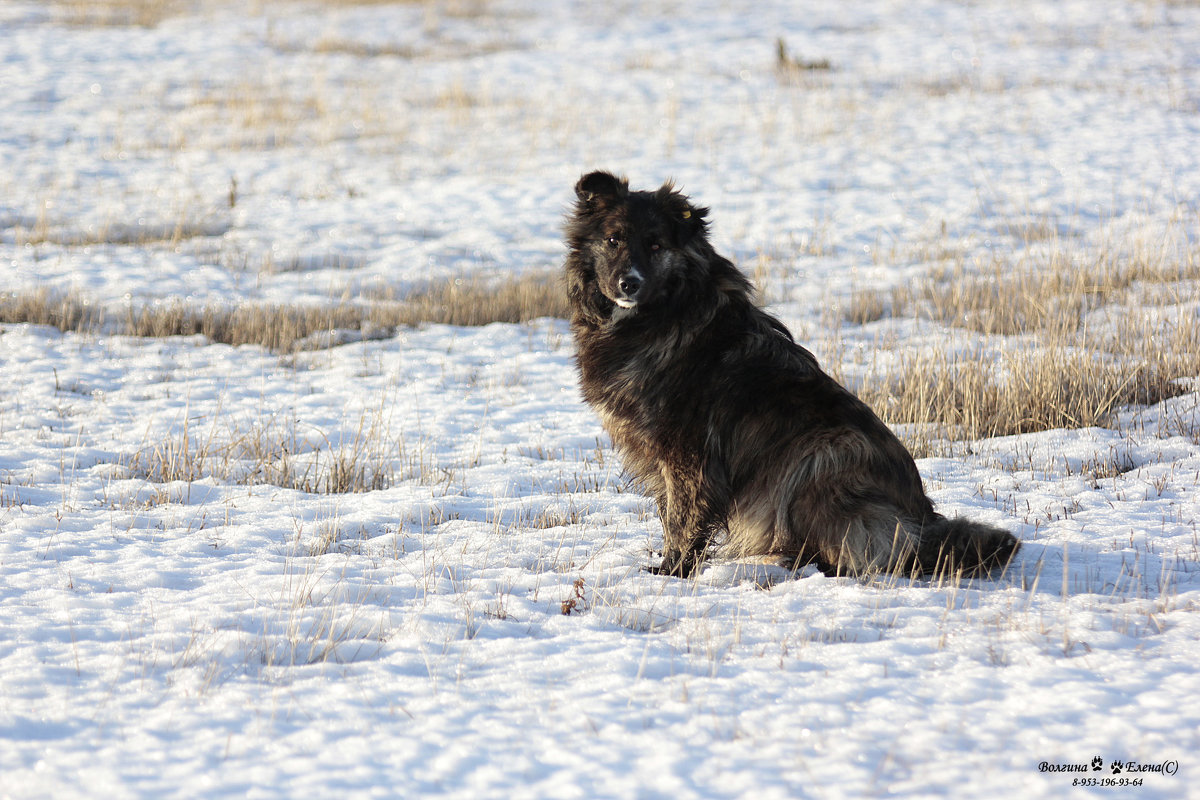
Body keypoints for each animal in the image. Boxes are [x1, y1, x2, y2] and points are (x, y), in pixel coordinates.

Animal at [566, 172, 1017, 578]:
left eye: (656, 245)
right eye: (613, 240)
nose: (628, 283)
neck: (664, 313)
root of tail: (922, 521)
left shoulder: (689, 453)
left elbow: (682, 520)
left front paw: (672, 573)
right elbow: (668, 514)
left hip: (818, 462)